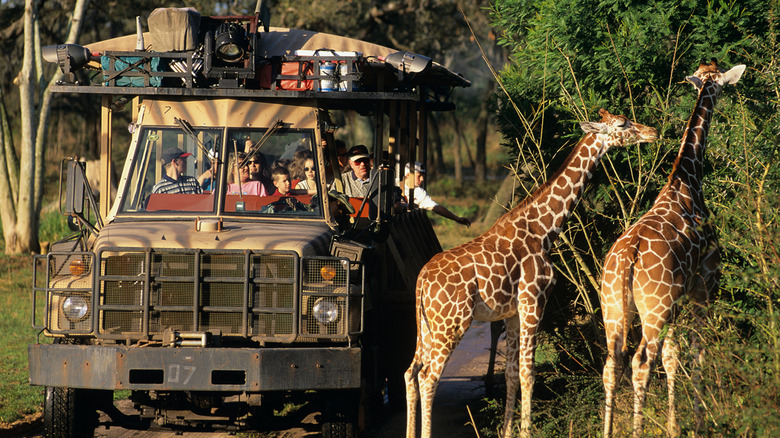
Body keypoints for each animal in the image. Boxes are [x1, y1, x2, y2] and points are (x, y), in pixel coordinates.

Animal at [405, 109, 658, 438]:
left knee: (410, 372)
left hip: (426, 326)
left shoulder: (513, 312)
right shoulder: (533, 302)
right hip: (451, 324)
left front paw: (509, 430)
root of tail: (422, 279)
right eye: (622, 124)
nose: (652, 132)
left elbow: (512, 374)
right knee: (428, 377)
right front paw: (525, 430)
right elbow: (528, 372)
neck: (544, 229)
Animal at [599, 60, 745, 438]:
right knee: (641, 362)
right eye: (721, 83)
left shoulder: (677, 302)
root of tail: (628, 259)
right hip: (655, 309)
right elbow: (696, 354)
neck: (687, 181)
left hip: (615, 309)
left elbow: (673, 356)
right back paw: (637, 431)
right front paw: (695, 424)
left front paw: (672, 425)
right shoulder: (703, 286)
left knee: (612, 363)